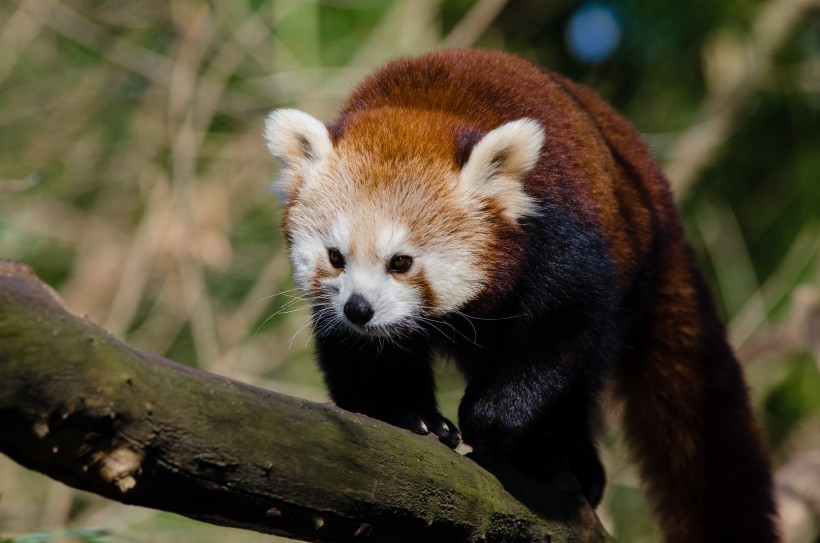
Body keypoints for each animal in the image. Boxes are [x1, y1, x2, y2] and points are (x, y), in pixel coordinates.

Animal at [264, 49, 780, 540]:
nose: (359, 310)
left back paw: (557, 454)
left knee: (588, 368)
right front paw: (412, 416)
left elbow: (560, 331)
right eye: (336, 257)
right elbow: (363, 364)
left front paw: (491, 418)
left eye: (401, 262)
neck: (420, 107)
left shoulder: (564, 237)